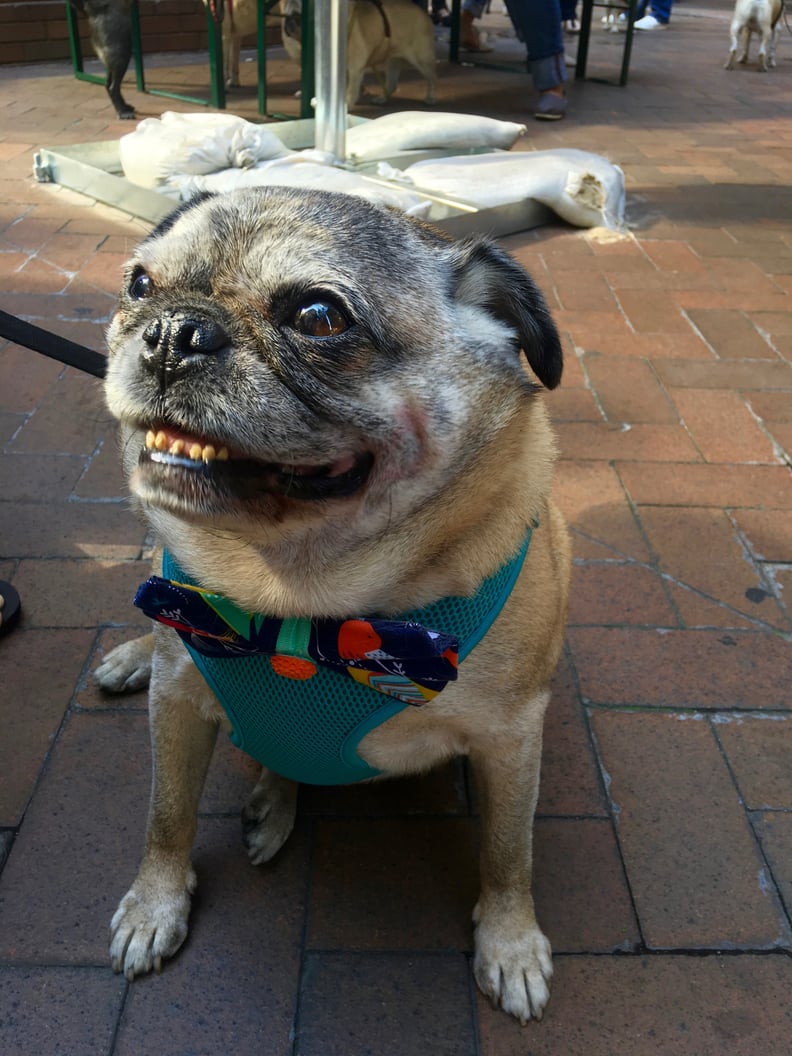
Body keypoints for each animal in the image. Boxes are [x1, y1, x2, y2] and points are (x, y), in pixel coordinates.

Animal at [97, 187, 570, 1022]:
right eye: (139, 285)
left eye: (319, 317)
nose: (173, 332)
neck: (296, 603)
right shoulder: (177, 704)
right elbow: (167, 817)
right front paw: (156, 905)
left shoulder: (511, 743)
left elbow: (508, 854)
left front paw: (511, 943)